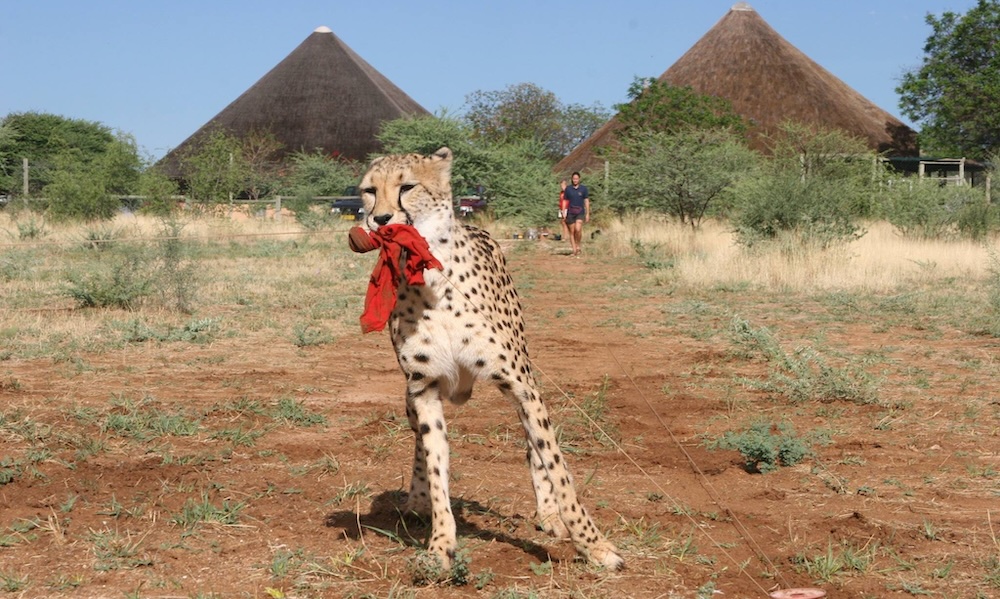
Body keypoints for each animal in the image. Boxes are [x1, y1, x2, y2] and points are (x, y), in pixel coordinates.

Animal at [354, 146, 624, 572]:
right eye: (368, 190)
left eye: (407, 186)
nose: (379, 219)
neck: (431, 279)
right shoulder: (423, 388)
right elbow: (435, 464)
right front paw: (440, 544)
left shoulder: (520, 384)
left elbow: (558, 467)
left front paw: (593, 544)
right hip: (410, 397)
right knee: (418, 442)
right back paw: (416, 502)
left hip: (525, 380)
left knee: (535, 446)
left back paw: (548, 514)